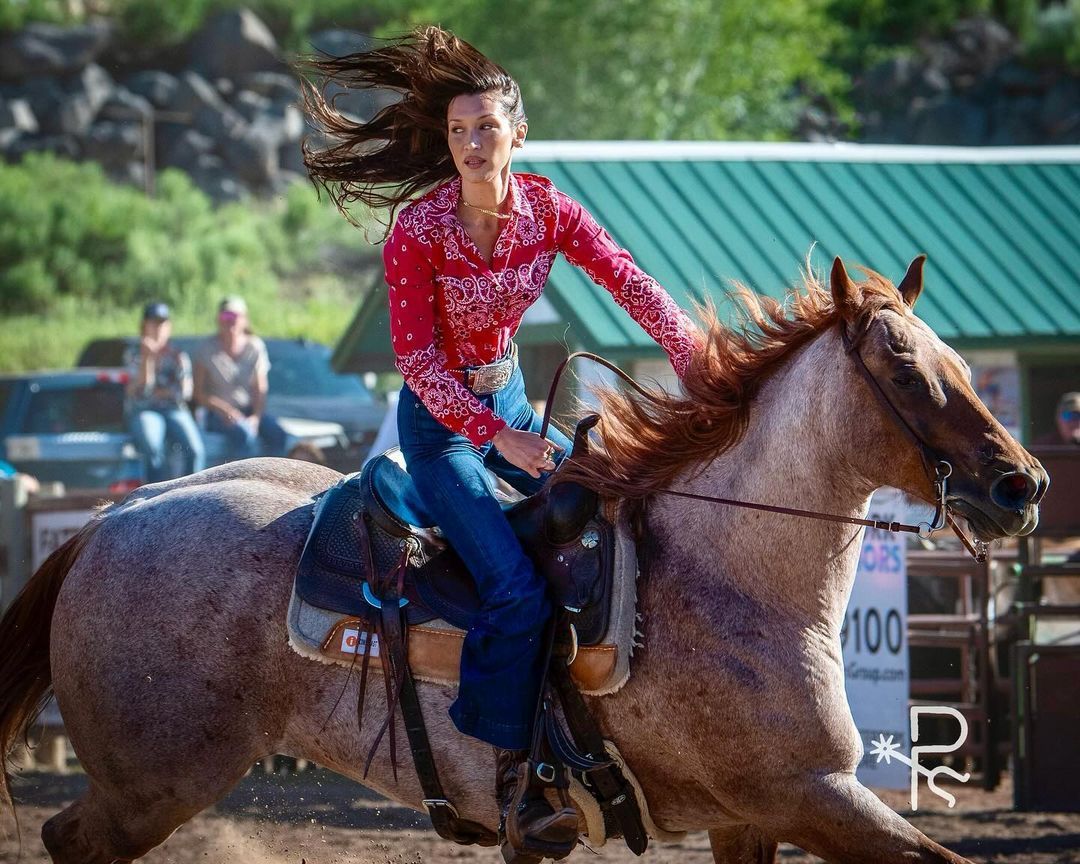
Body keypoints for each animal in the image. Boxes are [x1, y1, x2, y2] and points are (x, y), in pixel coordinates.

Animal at [0, 258, 1045, 864]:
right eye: (905, 370)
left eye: (960, 359)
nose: (1022, 484)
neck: (729, 572)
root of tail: (117, 514)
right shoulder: (806, 796)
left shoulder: (750, 817)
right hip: (151, 784)